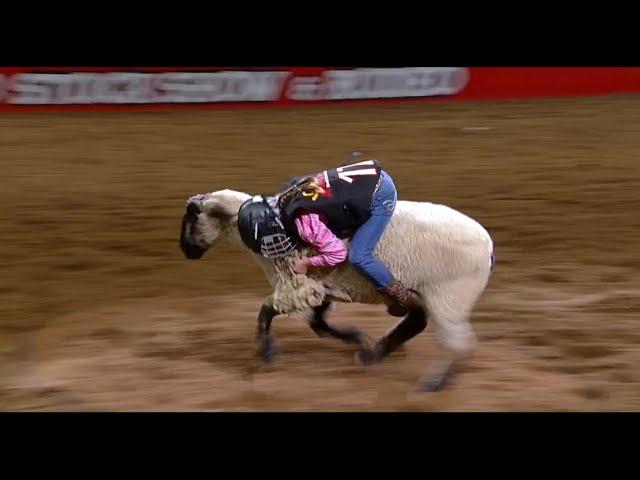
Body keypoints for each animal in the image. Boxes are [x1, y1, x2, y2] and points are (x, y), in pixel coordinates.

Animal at [180, 188, 496, 390]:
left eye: (193, 215)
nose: (185, 251)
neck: (267, 224)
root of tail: (488, 246)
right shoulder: (319, 286)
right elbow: (318, 324)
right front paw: (357, 339)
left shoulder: (296, 285)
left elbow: (266, 311)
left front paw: (266, 353)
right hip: (429, 294)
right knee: (418, 322)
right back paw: (375, 354)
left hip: (449, 296)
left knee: (457, 342)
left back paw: (434, 383)